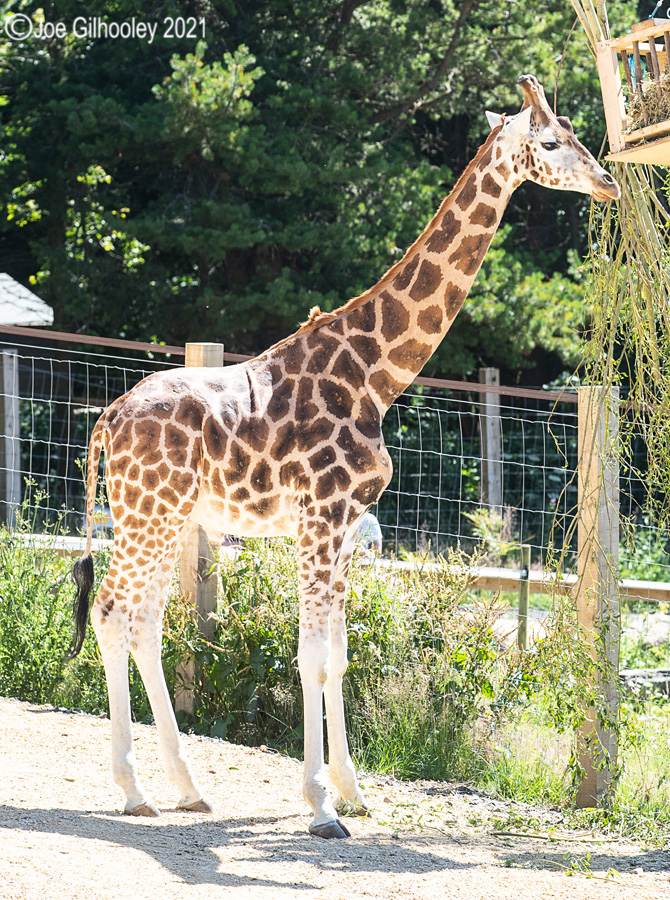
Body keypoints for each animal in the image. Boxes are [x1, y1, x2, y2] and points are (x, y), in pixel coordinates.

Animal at [70, 75, 619, 839]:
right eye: (549, 141)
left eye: (576, 132)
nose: (607, 183)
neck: (377, 374)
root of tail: (108, 418)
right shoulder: (321, 519)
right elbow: (310, 658)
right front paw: (321, 806)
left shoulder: (349, 527)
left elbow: (339, 657)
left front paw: (353, 792)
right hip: (147, 516)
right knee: (112, 613)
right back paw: (131, 790)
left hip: (165, 518)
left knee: (144, 622)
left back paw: (186, 788)